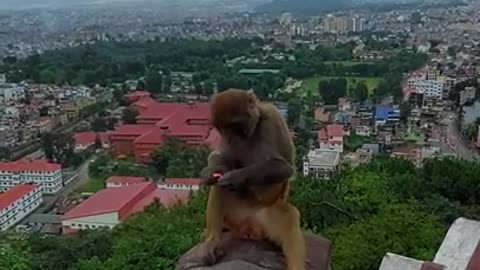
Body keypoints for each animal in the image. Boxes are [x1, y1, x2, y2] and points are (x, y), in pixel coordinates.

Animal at [200, 88, 306, 270]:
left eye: (234, 126)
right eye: (223, 129)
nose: (230, 137)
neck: (255, 128)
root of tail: (249, 226)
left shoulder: (274, 118)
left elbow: (285, 167)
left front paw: (235, 177)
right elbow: (221, 157)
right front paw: (210, 172)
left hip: (267, 216)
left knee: (289, 217)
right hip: (234, 214)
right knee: (219, 186)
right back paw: (213, 240)